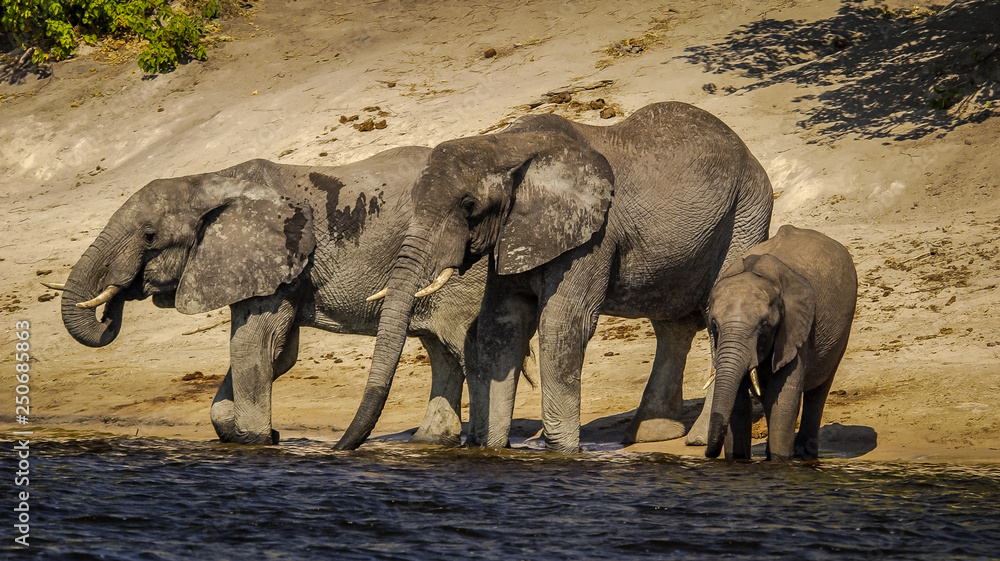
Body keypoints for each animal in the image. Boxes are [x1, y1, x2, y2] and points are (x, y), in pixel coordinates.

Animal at [58, 146, 496, 446]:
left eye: (149, 236)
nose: (116, 298)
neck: (211, 180)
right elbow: (276, 354)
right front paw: (259, 434)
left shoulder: (277, 257)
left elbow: (254, 345)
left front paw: (256, 439)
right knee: (440, 349)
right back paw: (432, 441)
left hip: (464, 273)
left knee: (461, 345)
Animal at [335, 101, 774, 452]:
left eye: (469, 206)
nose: (341, 447)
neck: (507, 146)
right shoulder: (514, 231)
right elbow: (500, 324)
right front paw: (492, 450)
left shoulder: (593, 233)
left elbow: (562, 324)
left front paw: (562, 453)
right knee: (672, 325)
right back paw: (652, 436)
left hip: (746, 213)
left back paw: (697, 439)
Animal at [704, 225, 858, 461]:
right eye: (714, 324)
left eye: (764, 325)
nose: (707, 454)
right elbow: (739, 402)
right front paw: (738, 460)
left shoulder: (797, 328)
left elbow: (784, 399)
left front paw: (779, 462)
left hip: (842, 329)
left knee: (818, 391)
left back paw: (805, 455)